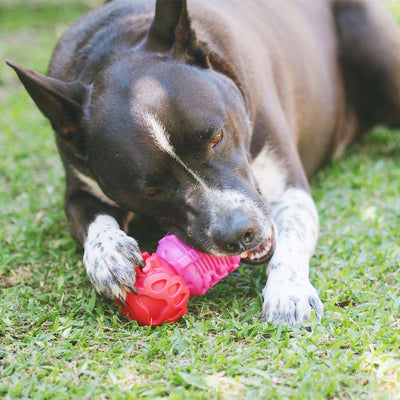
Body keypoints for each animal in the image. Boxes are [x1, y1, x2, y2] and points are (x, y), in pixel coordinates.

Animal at [6, 0, 400, 324]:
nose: (240, 234)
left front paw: (288, 292)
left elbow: (291, 240)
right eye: (151, 190)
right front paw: (109, 256)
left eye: (216, 137)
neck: (113, 47)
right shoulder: (80, 187)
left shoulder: (289, 191)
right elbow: (92, 220)